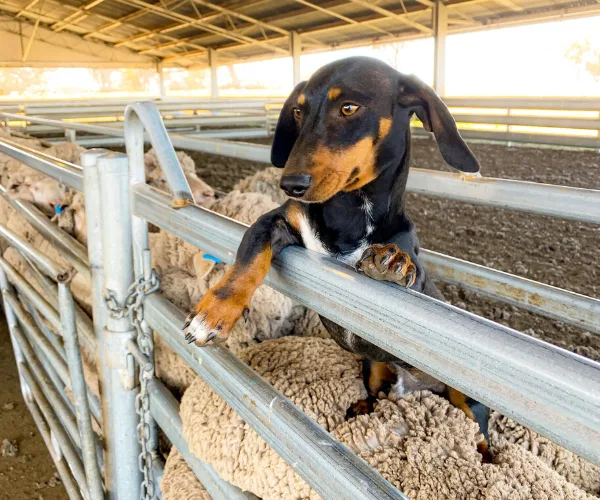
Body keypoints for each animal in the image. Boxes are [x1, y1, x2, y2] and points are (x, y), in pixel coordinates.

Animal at [183, 56, 489, 457]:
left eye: (348, 108)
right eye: (298, 111)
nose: (290, 184)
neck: (351, 214)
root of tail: (416, 388)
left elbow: (412, 272)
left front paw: (392, 264)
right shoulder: (276, 221)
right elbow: (248, 259)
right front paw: (213, 314)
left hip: (469, 400)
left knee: (480, 432)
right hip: (373, 368)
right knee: (378, 396)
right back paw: (361, 408)